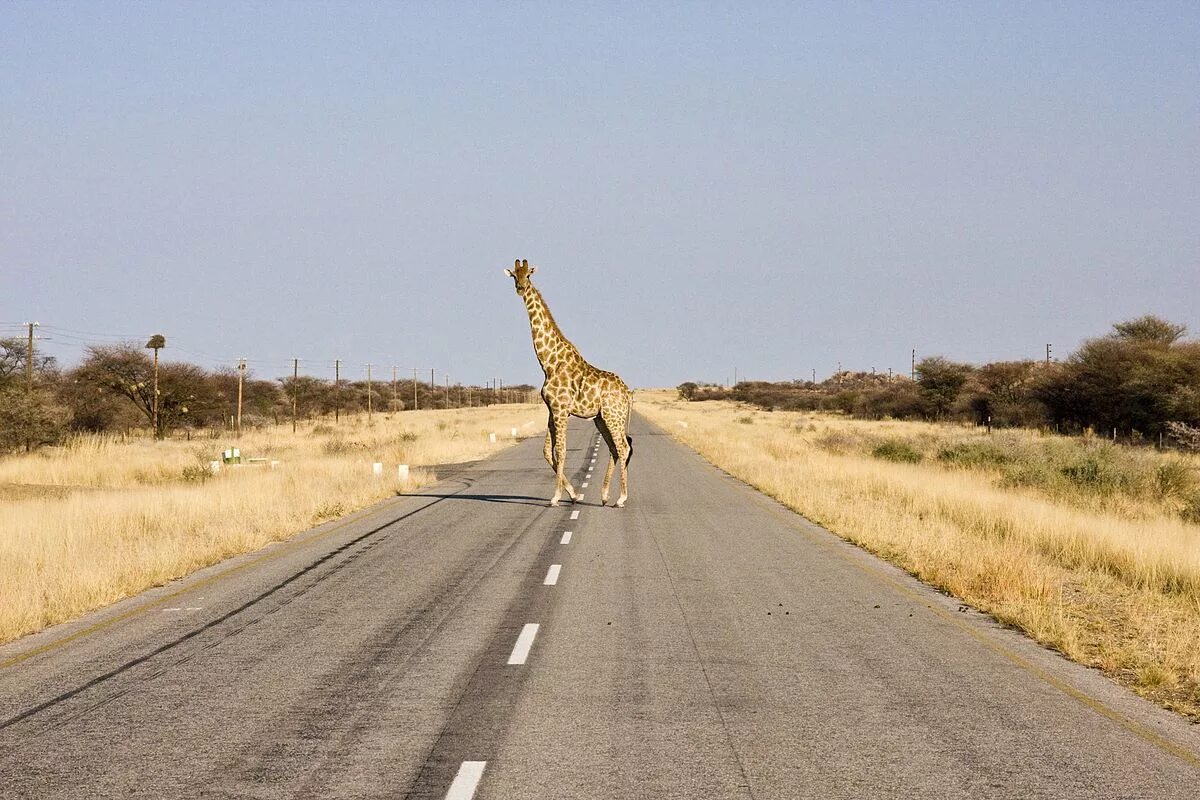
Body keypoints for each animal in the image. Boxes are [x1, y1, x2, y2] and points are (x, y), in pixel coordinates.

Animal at [501, 257, 633, 506]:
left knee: (623, 446)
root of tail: (628, 393)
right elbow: (547, 451)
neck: (548, 361)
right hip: (600, 418)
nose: (521, 288)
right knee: (615, 447)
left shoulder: (561, 409)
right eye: (514, 275)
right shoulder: (552, 409)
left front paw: (555, 497)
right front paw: (573, 494)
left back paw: (621, 498)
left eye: (528, 275)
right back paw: (604, 496)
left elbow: (561, 451)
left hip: (613, 415)